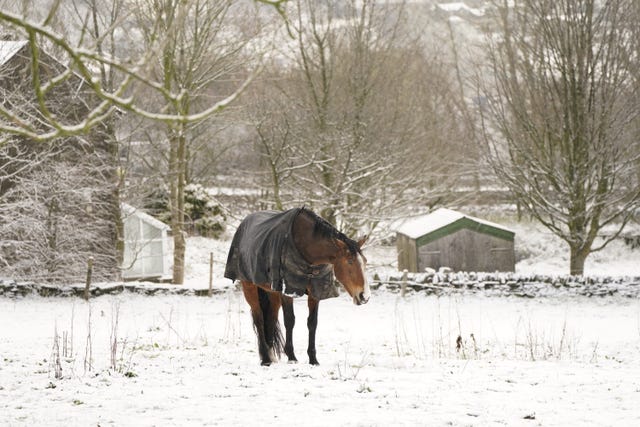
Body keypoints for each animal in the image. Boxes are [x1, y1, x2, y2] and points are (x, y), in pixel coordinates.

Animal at [224, 207, 368, 364]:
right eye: (349, 261)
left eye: (365, 261)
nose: (364, 296)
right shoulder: (287, 291)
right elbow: (289, 320)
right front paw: (292, 357)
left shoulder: (315, 292)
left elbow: (312, 323)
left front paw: (313, 359)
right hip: (249, 287)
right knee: (259, 319)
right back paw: (266, 359)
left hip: (272, 293)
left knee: (271, 319)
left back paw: (271, 355)